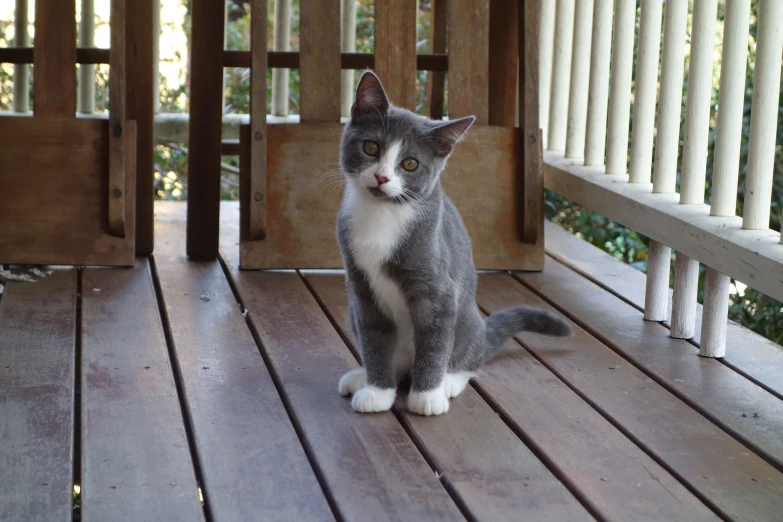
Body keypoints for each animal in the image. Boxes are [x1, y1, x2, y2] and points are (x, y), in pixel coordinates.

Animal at [336, 72, 568, 414]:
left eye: (410, 164)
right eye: (371, 147)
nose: (381, 177)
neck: (383, 214)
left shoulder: (439, 289)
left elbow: (434, 341)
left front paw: (427, 395)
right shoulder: (362, 289)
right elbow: (373, 337)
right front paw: (377, 389)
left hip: (466, 317)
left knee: (468, 358)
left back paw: (449, 381)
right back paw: (362, 375)